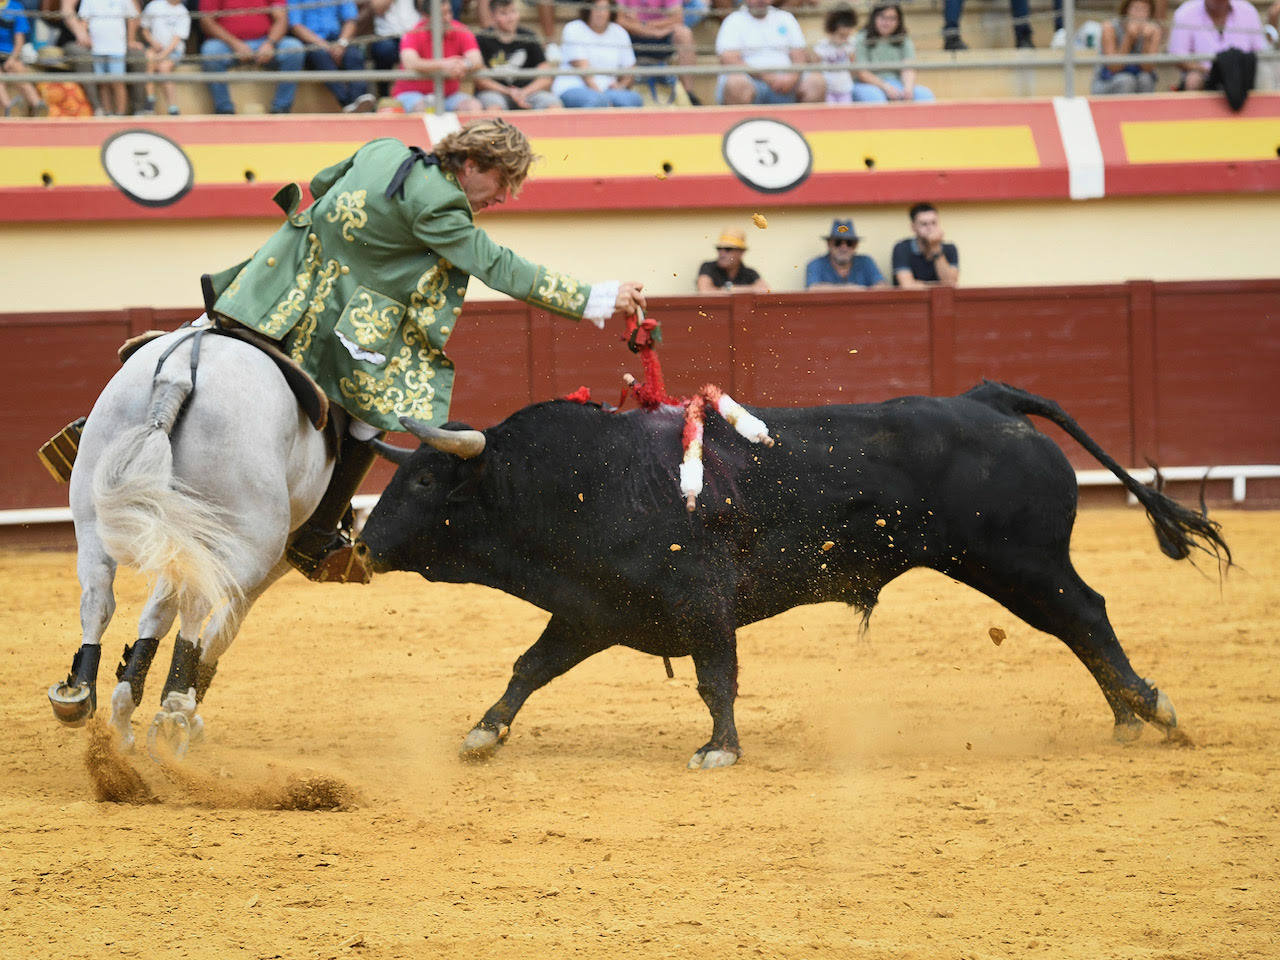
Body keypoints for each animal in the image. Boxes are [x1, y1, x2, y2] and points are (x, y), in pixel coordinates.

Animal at [47, 325, 332, 757]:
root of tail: (178, 377)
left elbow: (157, 612)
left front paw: (125, 708)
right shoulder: (272, 558)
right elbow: (221, 630)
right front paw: (182, 708)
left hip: (94, 513)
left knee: (98, 596)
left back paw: (83, 697)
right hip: (244, 544)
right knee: (197, 603)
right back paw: (176, 705)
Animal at [360, 378, 1228, 773]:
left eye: (426, 480)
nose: (359, 545)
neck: (577, 480)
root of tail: (987, 398)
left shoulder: (700, 603)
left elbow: (716, 679)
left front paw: (720, 750)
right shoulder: (594, 609)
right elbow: (530, 667)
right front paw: (483, 732)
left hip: (1019, 562)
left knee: (1086, 614)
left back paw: (1149, 708)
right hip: (1016, 566)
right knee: (1082, 624)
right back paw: (1128, 715)